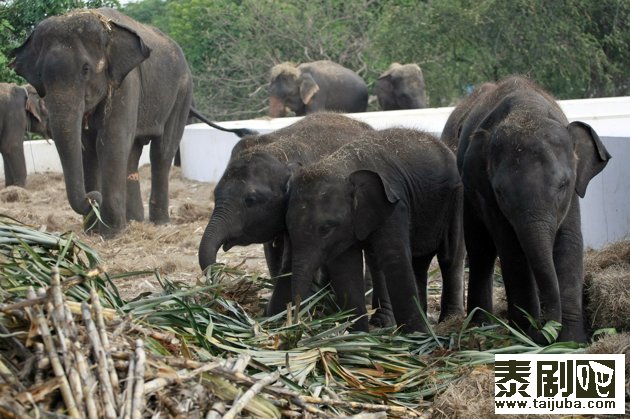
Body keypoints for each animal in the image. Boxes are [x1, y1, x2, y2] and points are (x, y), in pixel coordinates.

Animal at [286, 126, 464, 334]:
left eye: (325, 229)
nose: (298, 323)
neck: (342, 165)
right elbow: (346, 268)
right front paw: (358, 335)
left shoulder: (395, 206)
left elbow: (394, 258)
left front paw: (417, 335)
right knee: (418, 261)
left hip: (456, 198)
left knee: (450, 257)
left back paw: (449, 321)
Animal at [452, 76, 616, 344]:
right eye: (500, 192)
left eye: (563, 184)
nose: (543, 328)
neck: (527, 110)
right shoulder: (487, 195)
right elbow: (512, 250)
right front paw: (525, 335)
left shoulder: (572, 196)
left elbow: (569, 243)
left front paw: (571, 342)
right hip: (469, 196)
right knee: (481, 251)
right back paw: (481, 325)